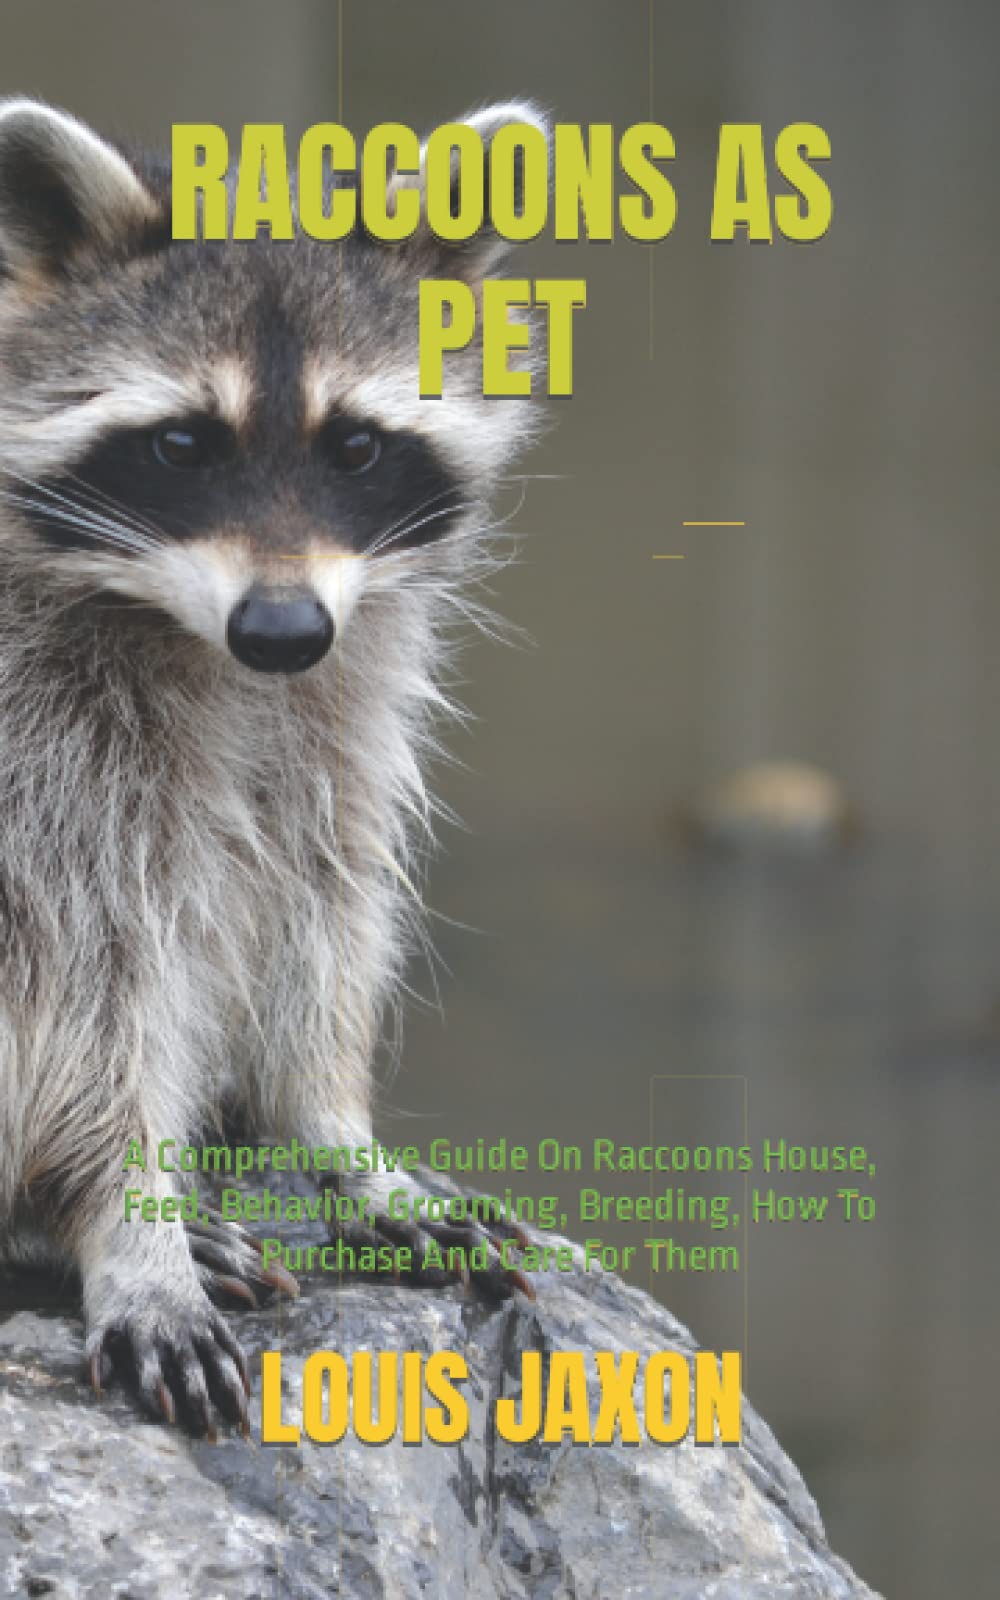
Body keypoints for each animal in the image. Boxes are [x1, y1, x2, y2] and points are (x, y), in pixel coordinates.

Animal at [0, 98, 546, 1436]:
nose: (284, 630)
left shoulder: (341, 696)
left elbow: (321, 884)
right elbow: (86, 970)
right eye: (180, 443)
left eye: (355, 445)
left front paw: (334, 1129)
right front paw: (123, 1218)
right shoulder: (43, 739)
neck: (198, 635)